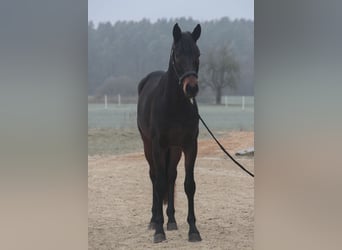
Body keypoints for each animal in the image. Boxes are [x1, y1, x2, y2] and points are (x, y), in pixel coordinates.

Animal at [136, 23, 202, 242]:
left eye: (198, 54)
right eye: (177, 55)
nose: (191, 88)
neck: (174, 105)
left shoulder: (190, 146)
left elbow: (189, 185)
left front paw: (193, 230)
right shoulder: (158, 146)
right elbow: (159, 183)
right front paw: (159, 230)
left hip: (174, 150)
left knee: (171, 175)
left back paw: (171, 220)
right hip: (148, 146)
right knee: (155, 176)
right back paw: (154, 219)